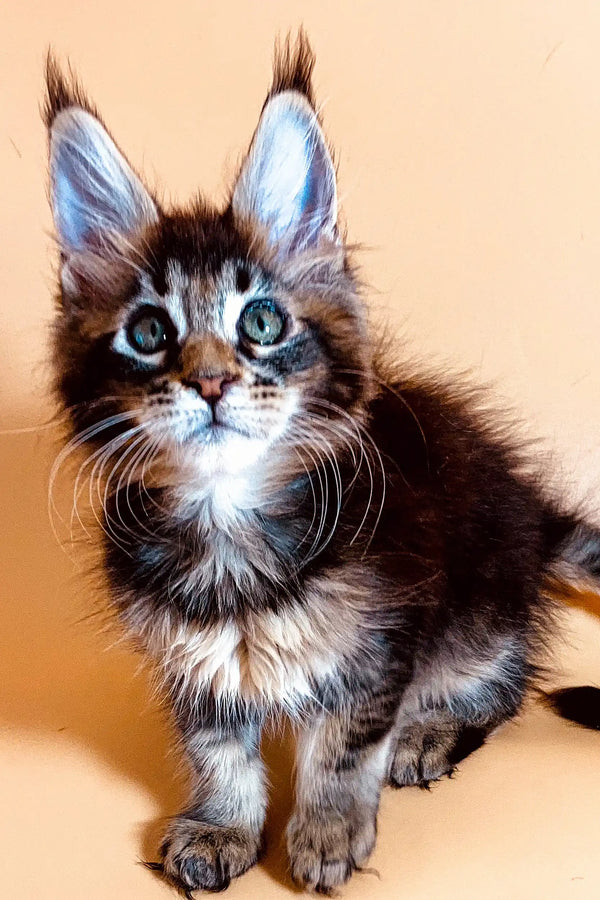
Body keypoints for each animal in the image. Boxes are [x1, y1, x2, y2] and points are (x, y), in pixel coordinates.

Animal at [43, 31, 600, 896]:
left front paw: (329, 830)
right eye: (148, 333)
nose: (210, 381)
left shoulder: (383, 641)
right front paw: (223, 827)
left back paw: (430, 733)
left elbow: (344, 747)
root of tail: (534, 514)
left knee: (505, 684)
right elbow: (217, 752)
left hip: (478, 613)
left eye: (262, 322)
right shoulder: (191, 663)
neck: (230, 531)